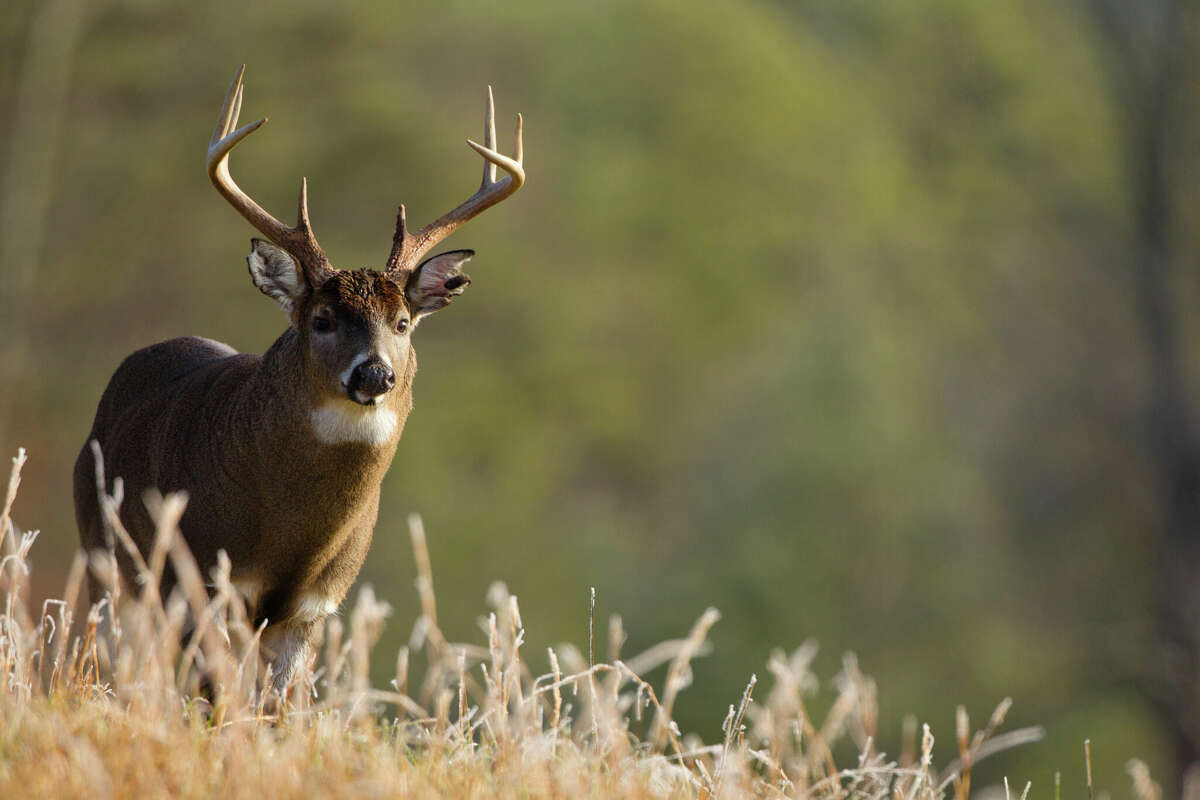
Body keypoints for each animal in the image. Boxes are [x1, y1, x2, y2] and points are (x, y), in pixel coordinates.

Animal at [73, 67, 525, 695]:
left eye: (402, 321)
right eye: (322, 319)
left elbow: (276, 705)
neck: (289, 537)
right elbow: (216, 698)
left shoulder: (314, 605)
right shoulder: (203, 581)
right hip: (107, 560)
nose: (375, 372)